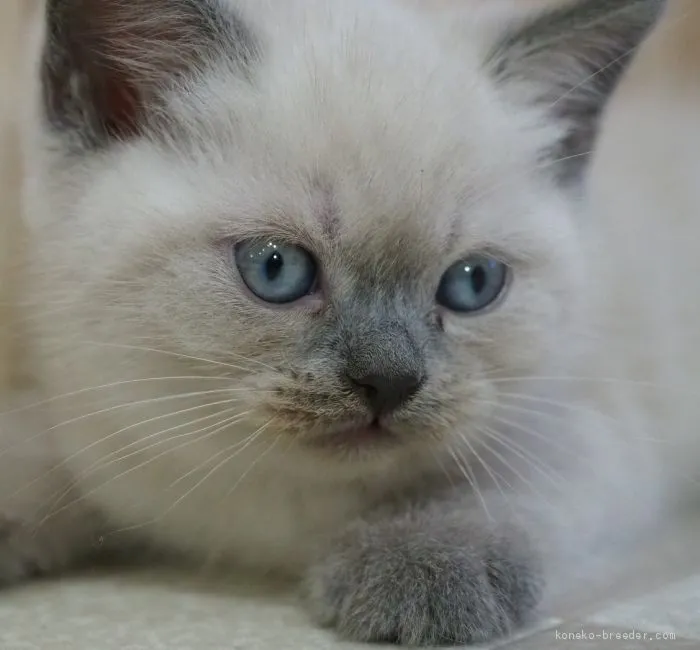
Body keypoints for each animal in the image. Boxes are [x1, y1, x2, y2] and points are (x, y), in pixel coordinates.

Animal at [1, 0, 688, 644]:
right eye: (275, 269)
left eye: (473, 284)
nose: (390, 381)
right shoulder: (94, 433)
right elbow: (32, 459)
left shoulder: (573, 429)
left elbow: (480, 493)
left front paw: (420, 571)